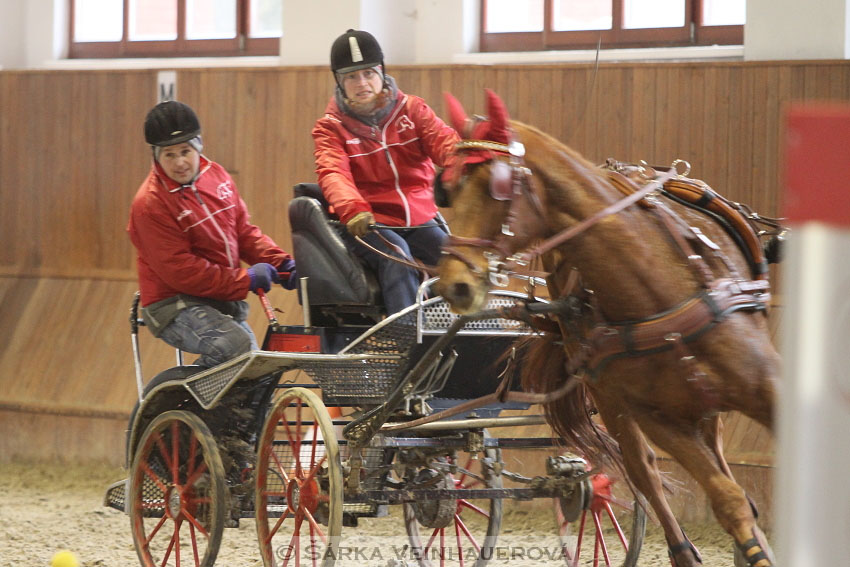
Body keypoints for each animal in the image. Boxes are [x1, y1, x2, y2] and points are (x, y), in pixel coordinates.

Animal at [438, 91, 780, 564]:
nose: (453, 283)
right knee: (645, 473)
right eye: (450, 189)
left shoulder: (765, 385)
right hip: (617, 399)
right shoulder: (655, 415)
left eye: (497, 186)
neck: (659, 288)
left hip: (701, 404)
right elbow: (724, 499)